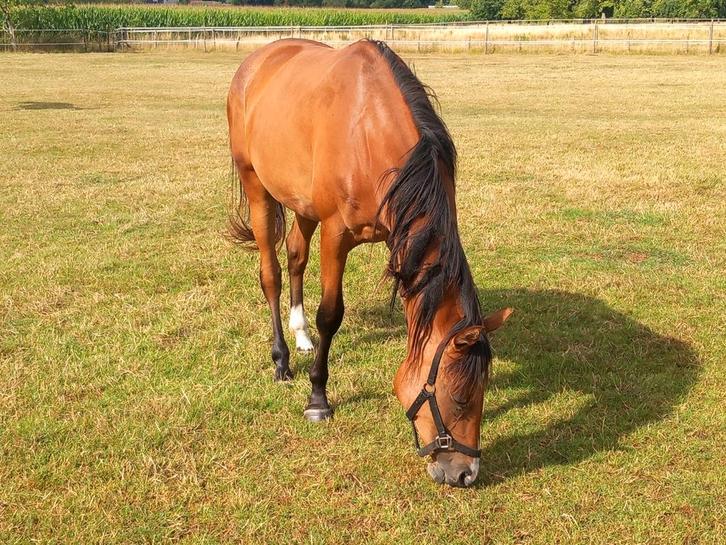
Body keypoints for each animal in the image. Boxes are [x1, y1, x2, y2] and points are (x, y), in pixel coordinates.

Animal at [227, 39, 511, 487]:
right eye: (460, 396)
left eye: (484, 391)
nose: (465, 473)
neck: (369, 132)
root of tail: (254, 63)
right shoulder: (336, 235)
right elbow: (331, 314)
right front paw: (318, 399)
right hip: (257, 186)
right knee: (271, 274)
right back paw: (282, 360)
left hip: (301, 202)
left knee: (295, 255)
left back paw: (301, 336)